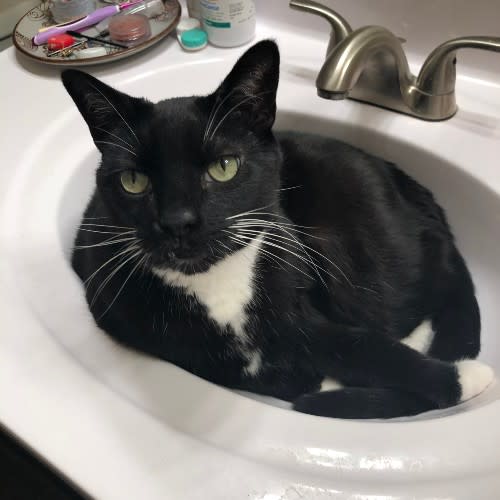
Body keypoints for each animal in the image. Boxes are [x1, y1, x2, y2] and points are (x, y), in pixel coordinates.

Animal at [61, 39, 492, 418]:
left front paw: (467, 376)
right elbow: (254, 369)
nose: (178, 222)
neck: (218, 286)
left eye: (224, 166)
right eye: (133, 181)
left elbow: (369, 347)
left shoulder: (299, 298)